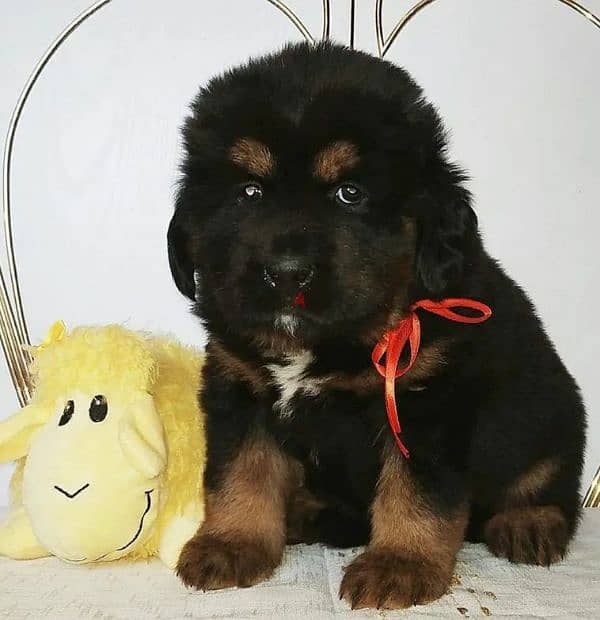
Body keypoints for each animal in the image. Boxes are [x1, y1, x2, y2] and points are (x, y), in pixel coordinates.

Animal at [166, 42, 584, 612]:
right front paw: (231, 544)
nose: (287, 272)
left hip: (553, 416)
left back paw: (528, 523)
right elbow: (240, 474)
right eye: (249, 192)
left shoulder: (426, 400)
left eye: (350, 193)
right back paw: (306, 511)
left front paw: (399, 565)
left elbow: (415, 495)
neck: (327, 340)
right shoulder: (239, 389)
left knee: (547, 482)